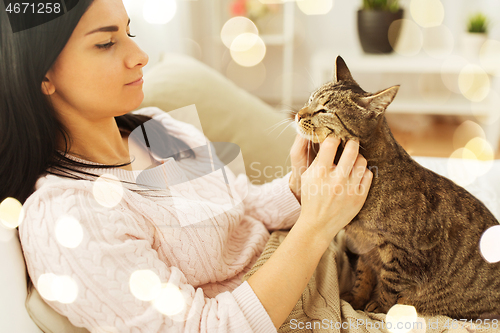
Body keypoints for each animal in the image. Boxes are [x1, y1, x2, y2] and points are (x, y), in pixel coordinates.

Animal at [292, 55, 500, 318]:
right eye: (310, 100)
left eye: (324, 110)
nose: (298, 115)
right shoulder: (365, 248)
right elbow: (364, 275)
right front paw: (357, 298)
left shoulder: (405, 256)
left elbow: (390, 285)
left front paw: (379, 307)